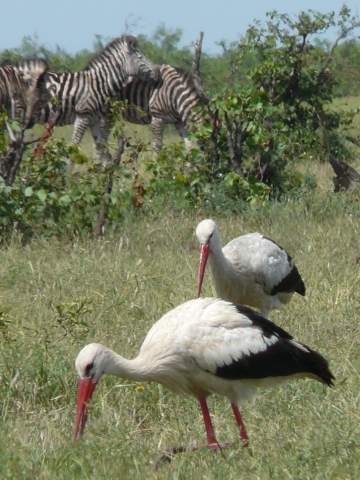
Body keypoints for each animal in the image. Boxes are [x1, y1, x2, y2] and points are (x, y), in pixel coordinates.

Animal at [37, 34, 159, 165]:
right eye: (141, 57)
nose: (158, 73)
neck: (98, 84)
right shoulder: (82, 117)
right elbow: (74, 149)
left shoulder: (94, 120)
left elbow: (101, 151)